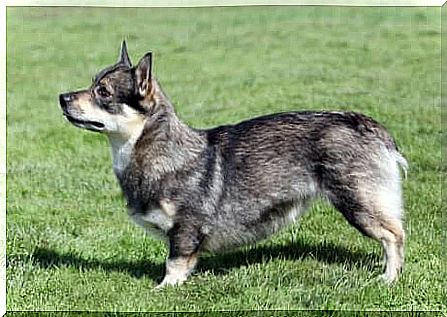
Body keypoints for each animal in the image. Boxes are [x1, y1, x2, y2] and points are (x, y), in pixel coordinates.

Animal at [59, 41, 410, 286]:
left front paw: (164, 289)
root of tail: (367, 125)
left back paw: (389, 278)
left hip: (357, 202)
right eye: (92, 84)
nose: (62, 97)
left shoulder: (185, 229)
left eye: (103, 92)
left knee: (395, 235)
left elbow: (174, 263)